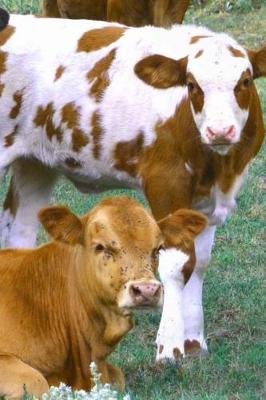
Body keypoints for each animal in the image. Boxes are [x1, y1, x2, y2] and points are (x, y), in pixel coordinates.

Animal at [0, 14, 264, 360]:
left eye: (245, 81)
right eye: (192, 85)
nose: (220, 130)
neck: (219, 164)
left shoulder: (209, 200)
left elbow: (200, 263)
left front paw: (194, 342)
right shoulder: (165, 182)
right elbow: (176, 263)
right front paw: (170, 348)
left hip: (35, 165)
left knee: (19, 236)